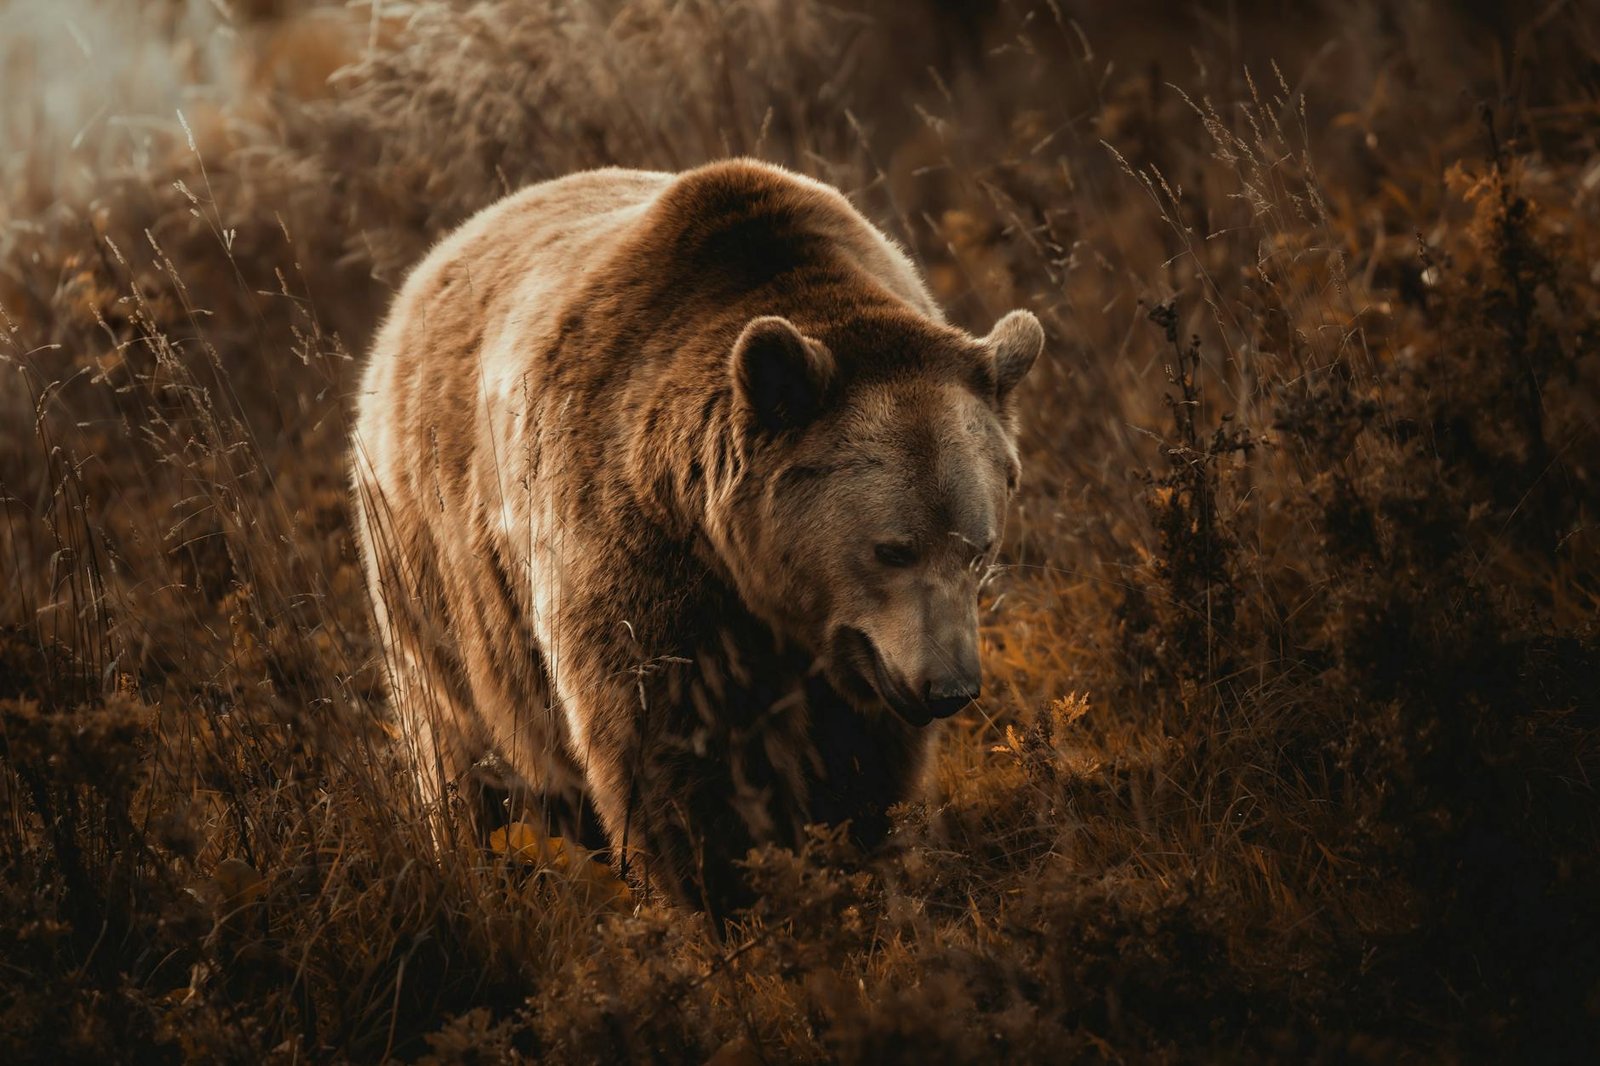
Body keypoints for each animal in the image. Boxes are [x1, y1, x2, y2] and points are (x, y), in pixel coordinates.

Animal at [349, 158, 1043, 917]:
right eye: (892, 548)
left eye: (978, 548)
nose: (950, 686)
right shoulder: (639, 551)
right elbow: (665, 741)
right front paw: (725, 890)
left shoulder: (856, 654)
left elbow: (862, 752)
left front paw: (857, 852)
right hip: (433, 572)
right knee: (465, 748)